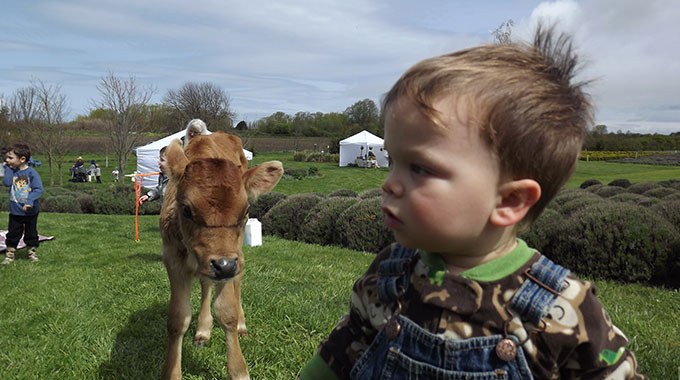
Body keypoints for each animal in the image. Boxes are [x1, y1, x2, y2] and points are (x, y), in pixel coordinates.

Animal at [161, 131, 282, 380]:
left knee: (237, 282)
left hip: (238, 255)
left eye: (245, 211)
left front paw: (239, 370)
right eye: (186, 209)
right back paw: (203, 330)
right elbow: (177, 318)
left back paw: (242, 326)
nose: (223, 265)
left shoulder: (230, 259)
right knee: (206, 284)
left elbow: (227, 312)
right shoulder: (172, 258)